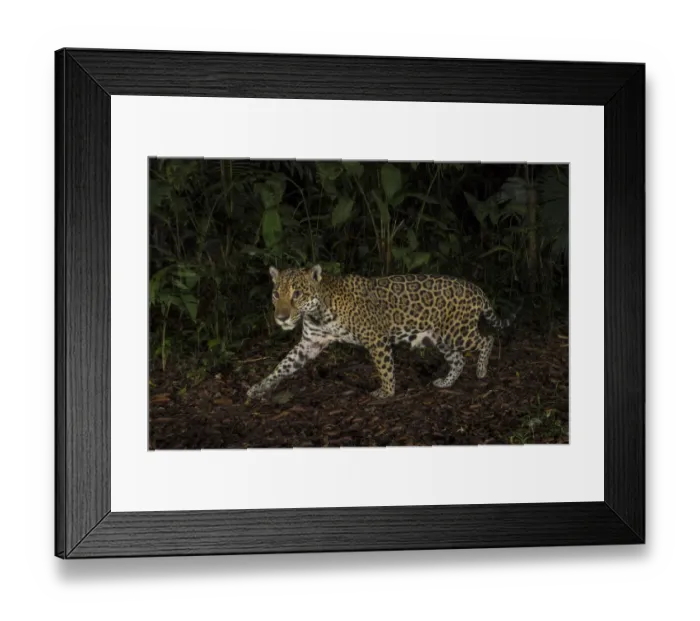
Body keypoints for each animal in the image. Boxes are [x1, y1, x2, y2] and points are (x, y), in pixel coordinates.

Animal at [246, 264, 521, 400]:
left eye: (297, 294)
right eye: (276, 294)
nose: (281, 318)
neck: (318, 311)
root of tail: (476, 289)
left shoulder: (376, 338)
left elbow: (384, 368)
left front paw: (387, 393)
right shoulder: (310, 343)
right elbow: (282, 366)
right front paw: (259, 388)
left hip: (458, 332)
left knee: (487, 339)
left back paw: (482, 371)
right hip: (440, 336)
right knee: (458, 359)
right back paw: (445, 382)